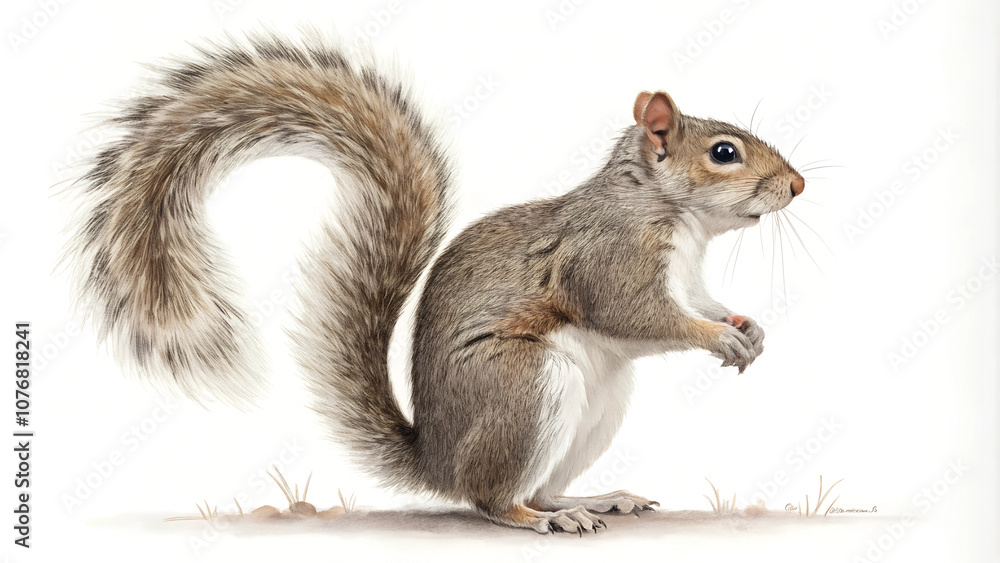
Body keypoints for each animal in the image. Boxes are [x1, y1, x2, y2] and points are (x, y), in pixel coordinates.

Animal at [66, 32, 804, 534]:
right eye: (725, 153)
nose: (798, 185)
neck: (674, 216)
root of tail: (438, 460)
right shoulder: (608, 258)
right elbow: (640, 314)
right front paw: (718, 337)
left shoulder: (687, 273)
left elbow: (701, 301)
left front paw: (747, 327)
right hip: (527, 386)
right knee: (494, 499)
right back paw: (539, 518)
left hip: (598, 405)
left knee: (543, 484)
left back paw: (592, 498)